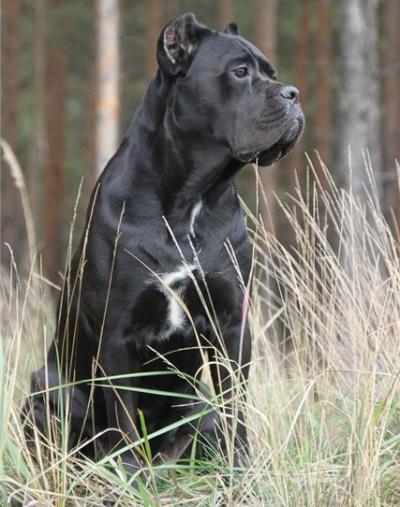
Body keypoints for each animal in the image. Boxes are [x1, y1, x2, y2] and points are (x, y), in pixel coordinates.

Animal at [24, 11, 304, 472]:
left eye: (272, 73)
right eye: (239, 72)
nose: (293, 94)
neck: (190, 199)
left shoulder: (232, 324)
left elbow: (235, 409)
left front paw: (240, 470)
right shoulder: (118, 333)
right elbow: (122, 420)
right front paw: (129, 475)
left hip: (197, 407)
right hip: (47, 391)